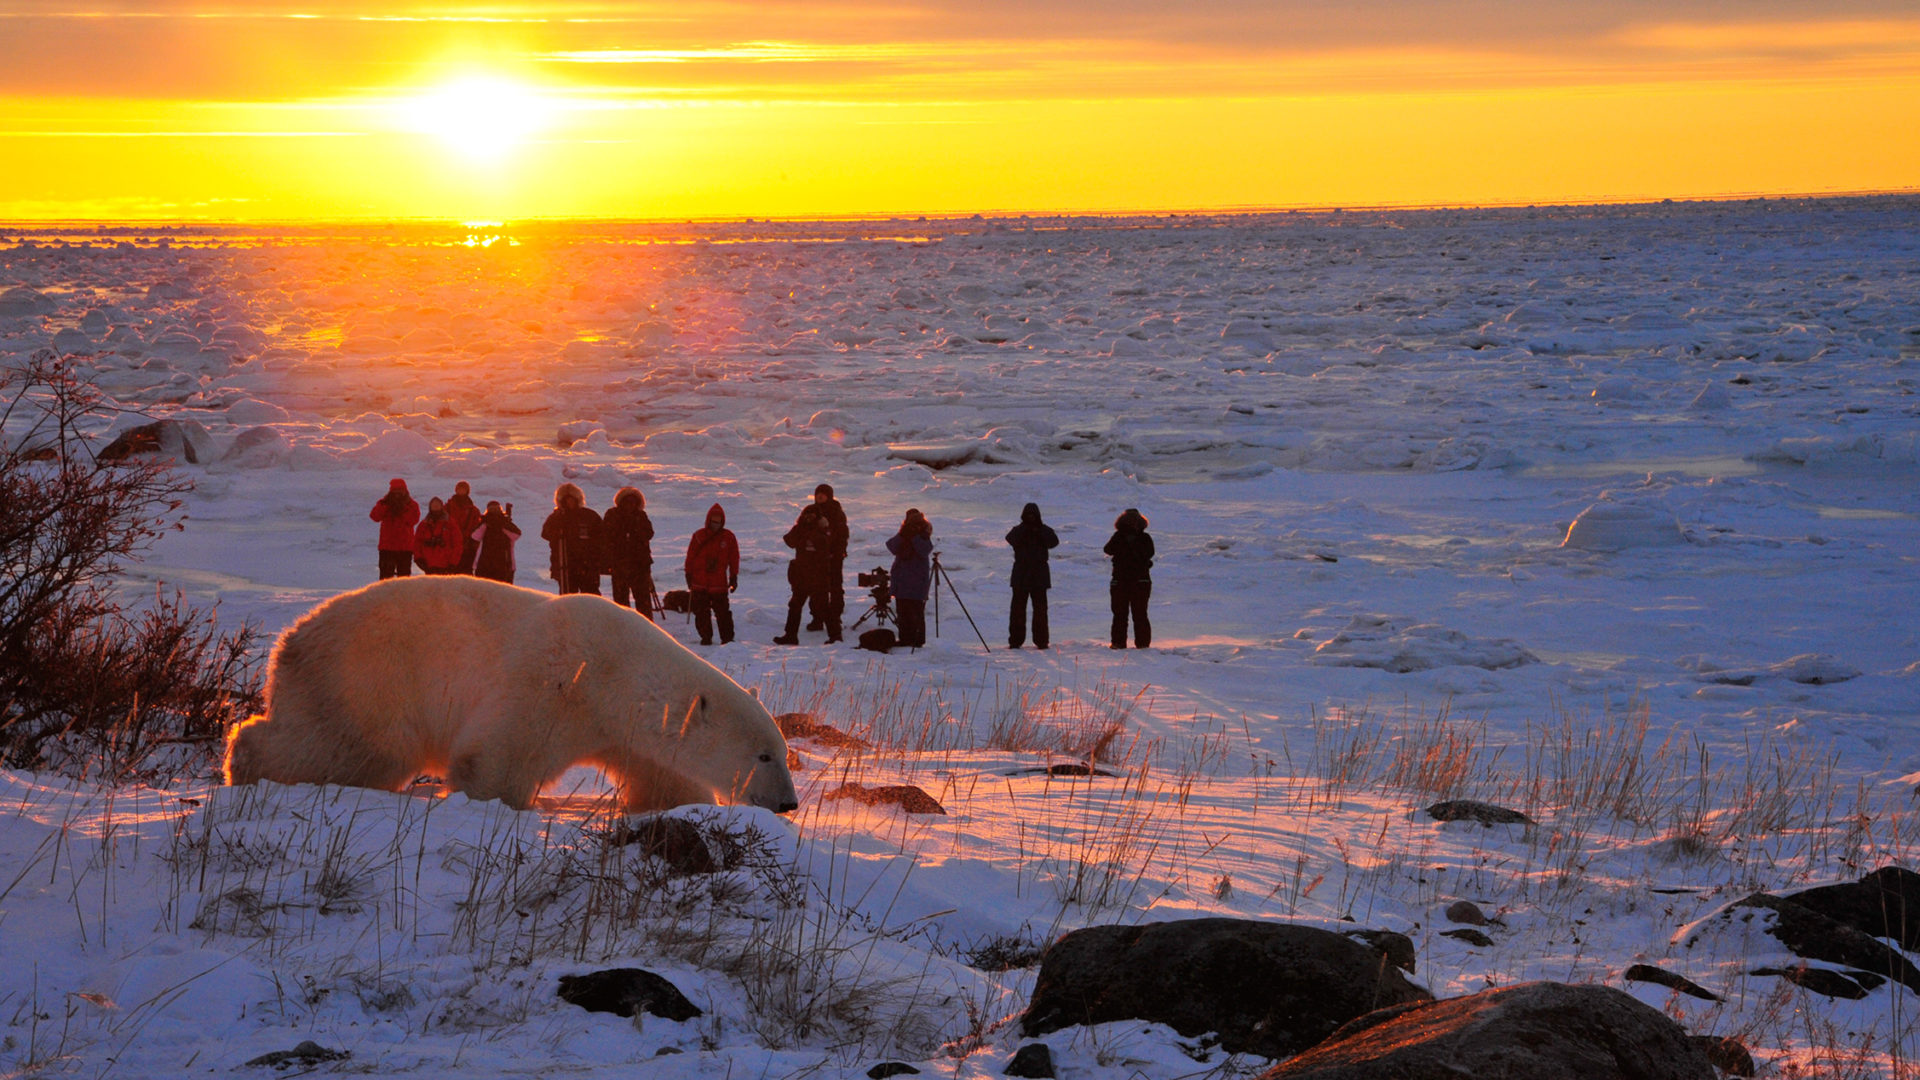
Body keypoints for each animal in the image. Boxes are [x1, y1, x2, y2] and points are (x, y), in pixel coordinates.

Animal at [224, 572, 794, 807]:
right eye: (764, 756)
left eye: (783, 753)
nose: (788, 804)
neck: (617, 674)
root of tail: (289, 640)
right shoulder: (553, 684)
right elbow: (495, 760)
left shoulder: (623, 732)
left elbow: (663, 778)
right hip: (368, 682)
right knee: (340, 748)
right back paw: (245, 763)